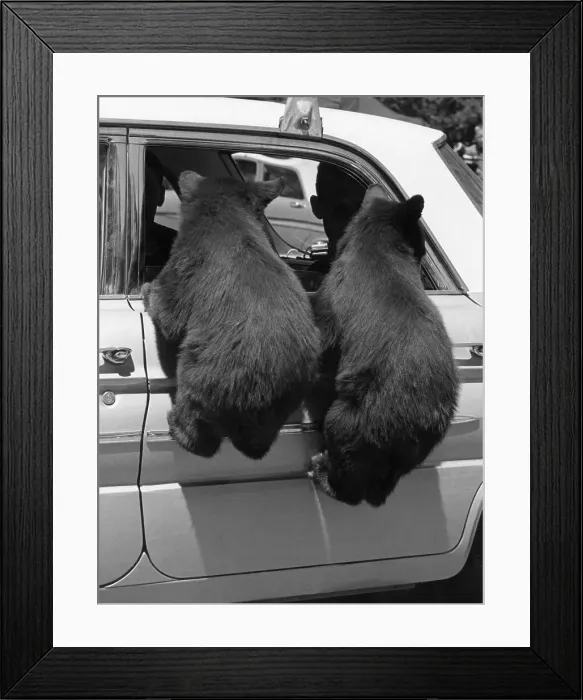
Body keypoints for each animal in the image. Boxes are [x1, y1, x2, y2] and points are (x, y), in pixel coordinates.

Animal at [142, 171, 320, 460]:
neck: (229, 213)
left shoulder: (186, 262)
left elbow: (170, 315)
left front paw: (148, 290)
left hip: (207, 372)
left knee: (197, 416)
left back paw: (179, 428)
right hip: (288, 397)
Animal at [307, 185, 459, 507]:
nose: (423, 252)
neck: (376, 240)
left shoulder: (336, 293)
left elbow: (324, 333)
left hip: (361, 414)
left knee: (345, 448)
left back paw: (324, 471)